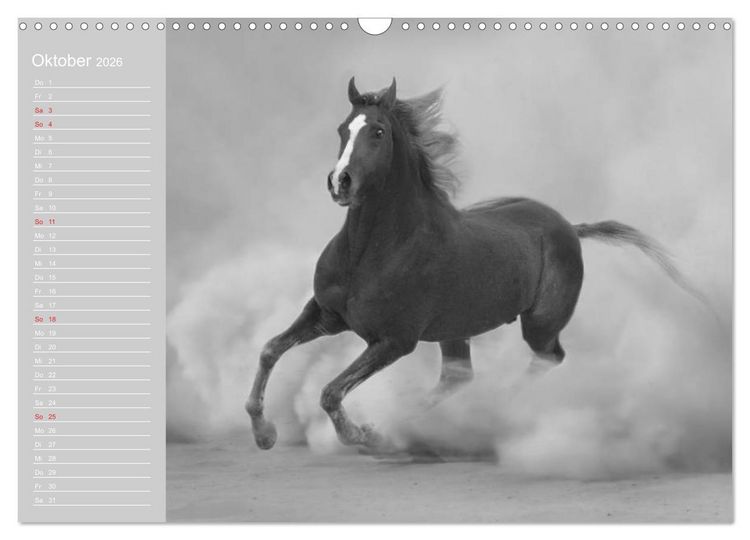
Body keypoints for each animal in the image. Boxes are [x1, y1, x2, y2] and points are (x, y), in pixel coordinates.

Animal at [245, 77, 699, 452]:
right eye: (342, 129)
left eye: (378, 131)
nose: (341, 183)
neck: (371, 251)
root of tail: (568, 227)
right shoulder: (326, 315)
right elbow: (270, 350)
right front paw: (264, 434)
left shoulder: (394, 340)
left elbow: (331, 392)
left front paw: (365, 436)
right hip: (455, 330)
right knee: (457, 378)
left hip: (540, 323)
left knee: (548, 358)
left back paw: (480, 415)